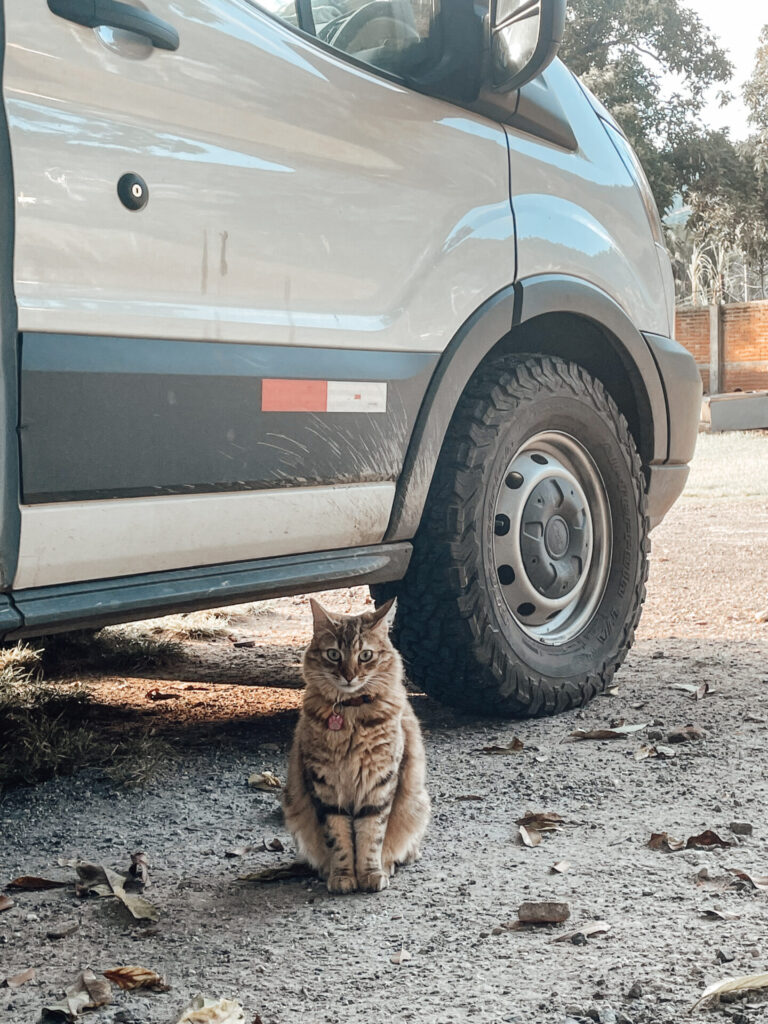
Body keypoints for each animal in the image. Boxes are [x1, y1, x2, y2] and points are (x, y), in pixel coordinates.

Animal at [282, 598, 430, 892]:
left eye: (365, 656)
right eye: (334, 655)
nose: (349, 676)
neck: (349, 715)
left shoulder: (380, 782)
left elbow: (371, 835)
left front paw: (371, 874)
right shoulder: (325, 786)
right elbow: (338, 838)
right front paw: (342, 876)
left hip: (418, 802)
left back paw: (391, 862)